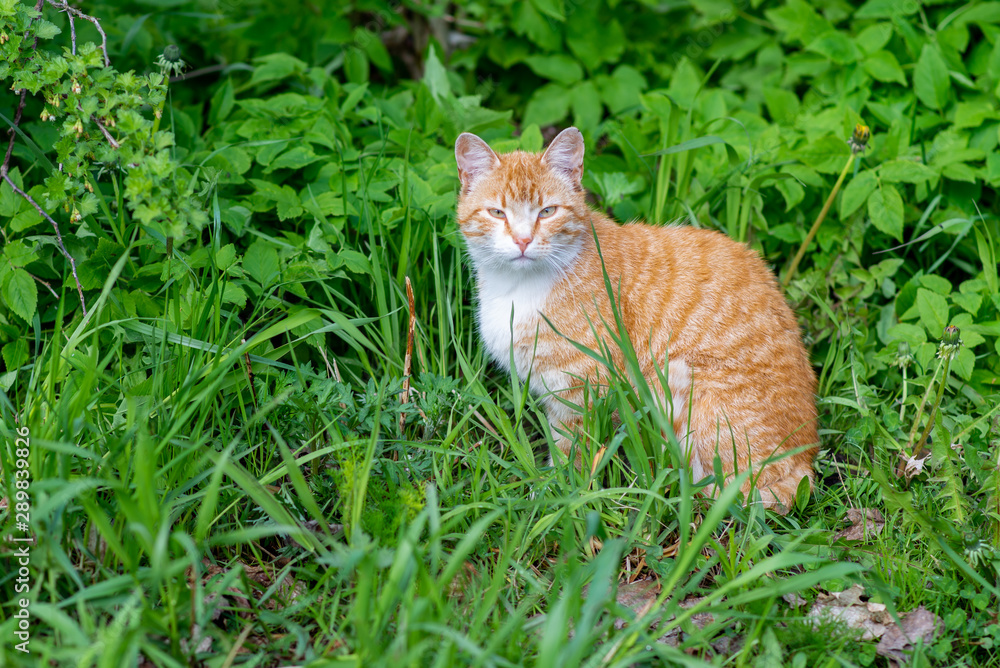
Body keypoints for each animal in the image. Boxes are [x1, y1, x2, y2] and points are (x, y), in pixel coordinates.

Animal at [458, 126, 816, 512]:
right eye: (497, 212)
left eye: (547, 211)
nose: (523, 240)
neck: (518, 288)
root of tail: (804, 465)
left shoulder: (583, 390)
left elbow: (571, 455)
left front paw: (555, 500)